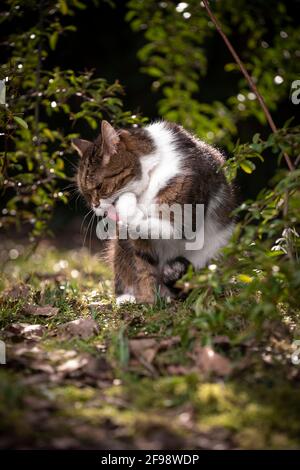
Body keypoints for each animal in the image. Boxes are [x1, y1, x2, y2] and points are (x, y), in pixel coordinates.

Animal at [73, 120, 237, 304]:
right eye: (86, 194)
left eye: (99, 187)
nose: (95, 206)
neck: (152, 173)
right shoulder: (139, 241)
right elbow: (144, 266)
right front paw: (148, 299)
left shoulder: (181, 223)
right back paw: (127, 297)